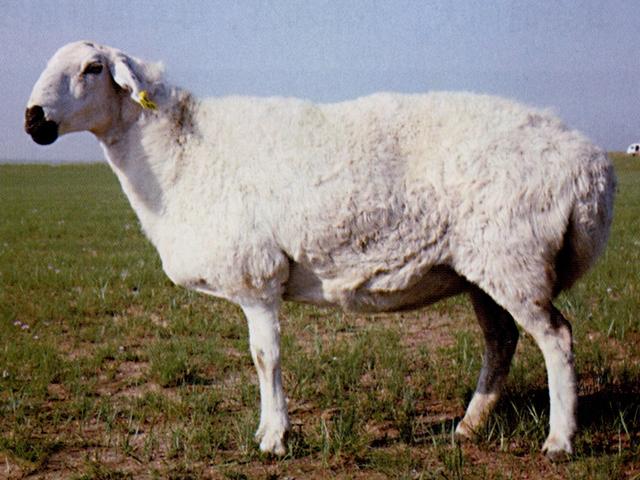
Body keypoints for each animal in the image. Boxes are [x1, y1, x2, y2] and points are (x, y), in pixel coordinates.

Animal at [25, 41, 615, 460]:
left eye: (93, 67)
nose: (33, 119)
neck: (177, 155)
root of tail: (592, 167)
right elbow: (262, 359)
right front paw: (268, 433)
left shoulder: (256, 278)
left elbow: (265, 357)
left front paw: (273, 440)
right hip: (484, 268)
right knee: (503, 340)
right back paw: (468, 428)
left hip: (516, 259)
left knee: (557, 338)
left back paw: (559, 442)